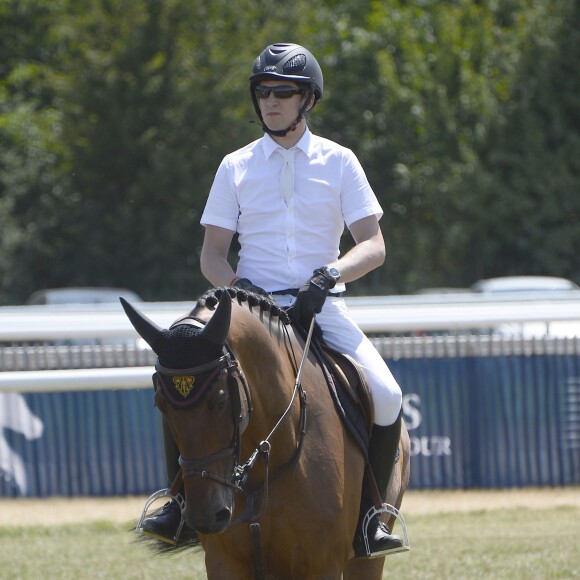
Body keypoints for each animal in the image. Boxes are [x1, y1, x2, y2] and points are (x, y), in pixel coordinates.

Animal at [120, 288, 410, 576]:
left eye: (222, 400)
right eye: (160, 404)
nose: (206, 516)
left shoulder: (322, 564)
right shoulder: (223, 562)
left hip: (365, 559)